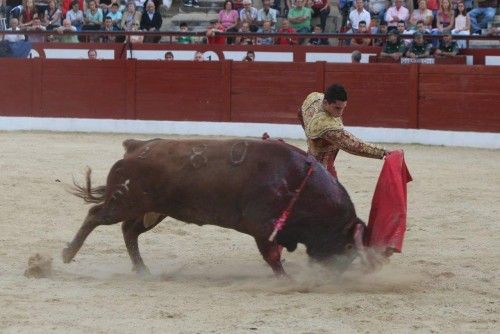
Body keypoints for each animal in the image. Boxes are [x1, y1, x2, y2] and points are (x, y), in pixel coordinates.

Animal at [62, 138, 374, 276]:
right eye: (348, 246)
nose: (336, 275)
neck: (299, 182)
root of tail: (136, 146)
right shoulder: (262, 227)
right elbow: (273, 258)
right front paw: (286, 279)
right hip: (124, 202)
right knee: (96, 216)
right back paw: (67, 254)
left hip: (153, 210)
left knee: (129, 231)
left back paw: (142, 270)